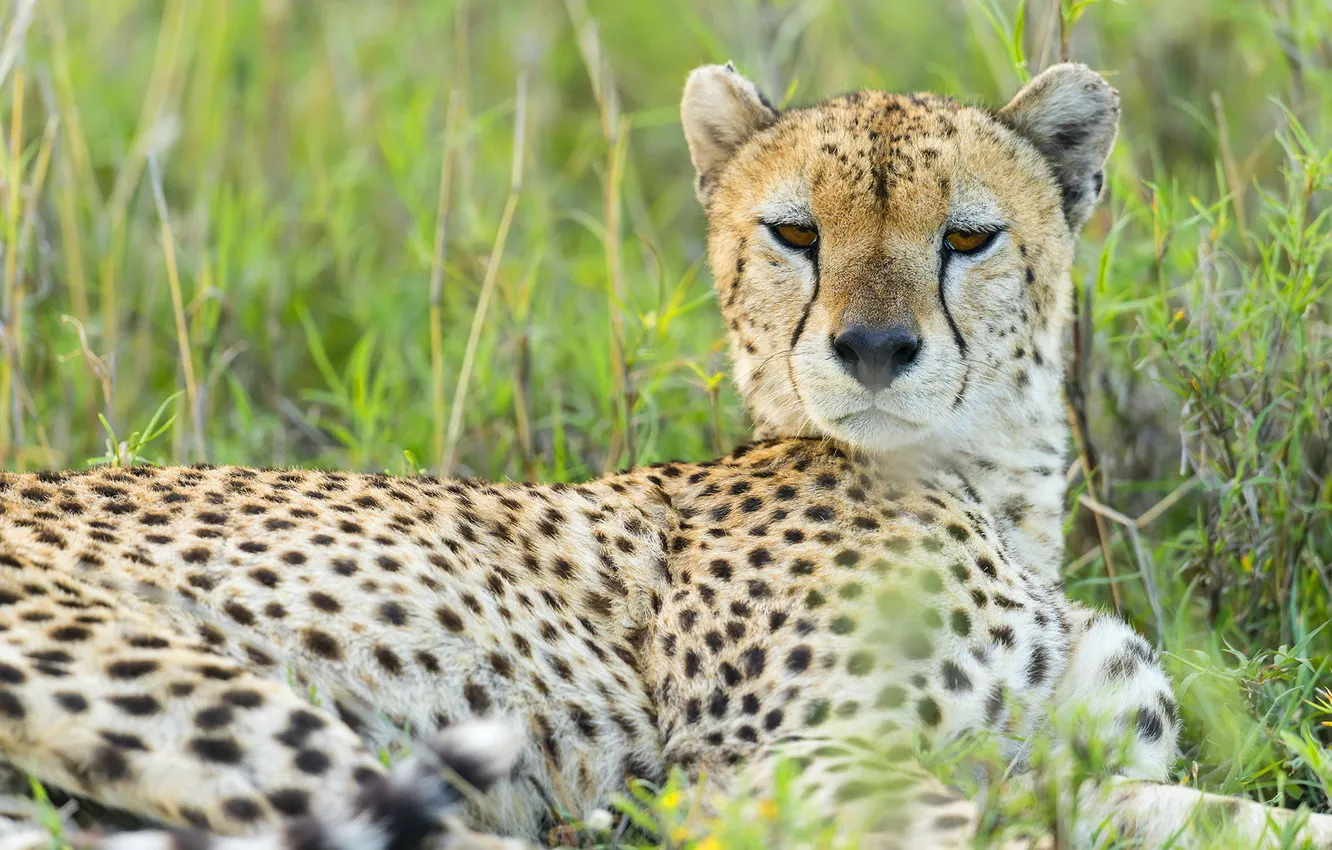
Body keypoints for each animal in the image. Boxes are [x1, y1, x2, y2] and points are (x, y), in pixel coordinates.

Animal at [1, 62, 1331, 850]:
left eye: (968, 237)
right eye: (795, 232)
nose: (875, 348)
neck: (992, 487)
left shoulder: (1066, 765)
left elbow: (1213, 811)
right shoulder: (758, 770)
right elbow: (993, 832)